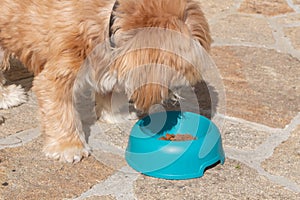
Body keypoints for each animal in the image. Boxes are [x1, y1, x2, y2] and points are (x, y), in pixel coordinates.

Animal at [0, 0, 211, 162]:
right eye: (182, 70)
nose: (182, 91)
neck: (109, 19)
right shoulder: (57, 77)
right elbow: (62, 114)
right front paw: (69, 146)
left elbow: (110, 90)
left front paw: (115, 115)